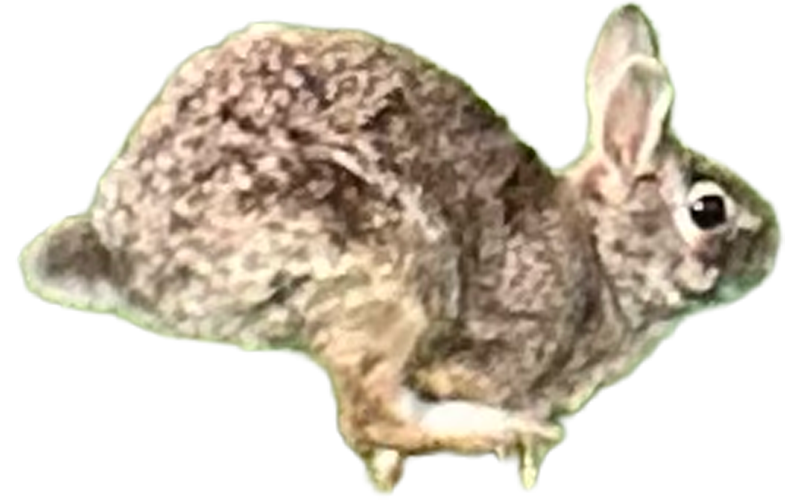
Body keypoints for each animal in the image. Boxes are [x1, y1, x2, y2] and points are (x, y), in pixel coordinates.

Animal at [19, 4, 782, 495]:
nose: (773, 248)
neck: (600, 251)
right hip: (389, 266)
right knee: (369, 409)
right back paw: (509, 431)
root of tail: (123, 248)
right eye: (708, 210)